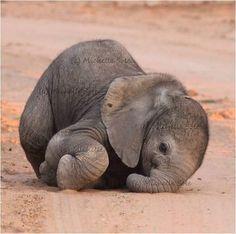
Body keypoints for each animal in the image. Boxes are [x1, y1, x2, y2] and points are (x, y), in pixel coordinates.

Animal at [19, 40, 209, 193]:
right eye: (163, 147)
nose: (137, 176)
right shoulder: (104, 117)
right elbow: (62, 140)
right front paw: (58, 169)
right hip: (46, 85)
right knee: (34, 134)